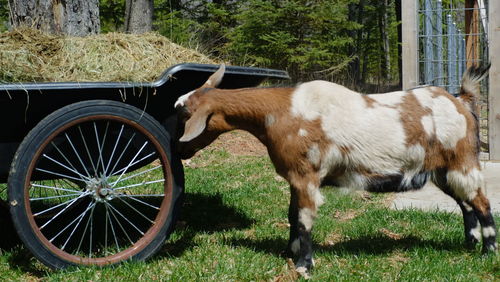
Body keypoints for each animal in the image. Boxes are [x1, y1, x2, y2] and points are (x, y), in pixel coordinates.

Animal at [175, 64, 496, 274]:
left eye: (184, 114)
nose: (180, 150)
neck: (281, 111)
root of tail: (462, 101)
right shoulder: (295, 179)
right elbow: (292, 215)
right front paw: (289, 253)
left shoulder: (305, 176)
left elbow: (304, 219)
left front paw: (304, 266)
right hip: (442, 171)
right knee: (466, 205)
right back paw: (470, 244)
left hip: (462, 162)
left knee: (481, 203)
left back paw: (487, 253)